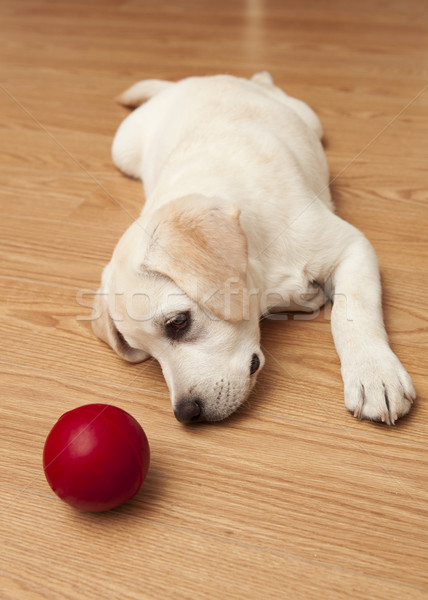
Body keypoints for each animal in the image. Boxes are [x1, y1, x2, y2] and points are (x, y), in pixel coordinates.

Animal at [92, 71, 416, 422]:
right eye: (147, 353)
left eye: (178, 322)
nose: (186, 414)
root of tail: (191, 80)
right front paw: (305, 298)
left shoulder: (352, 246)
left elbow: (352, 311)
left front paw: (374, 374)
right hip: (122, 150)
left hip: (308, 119)